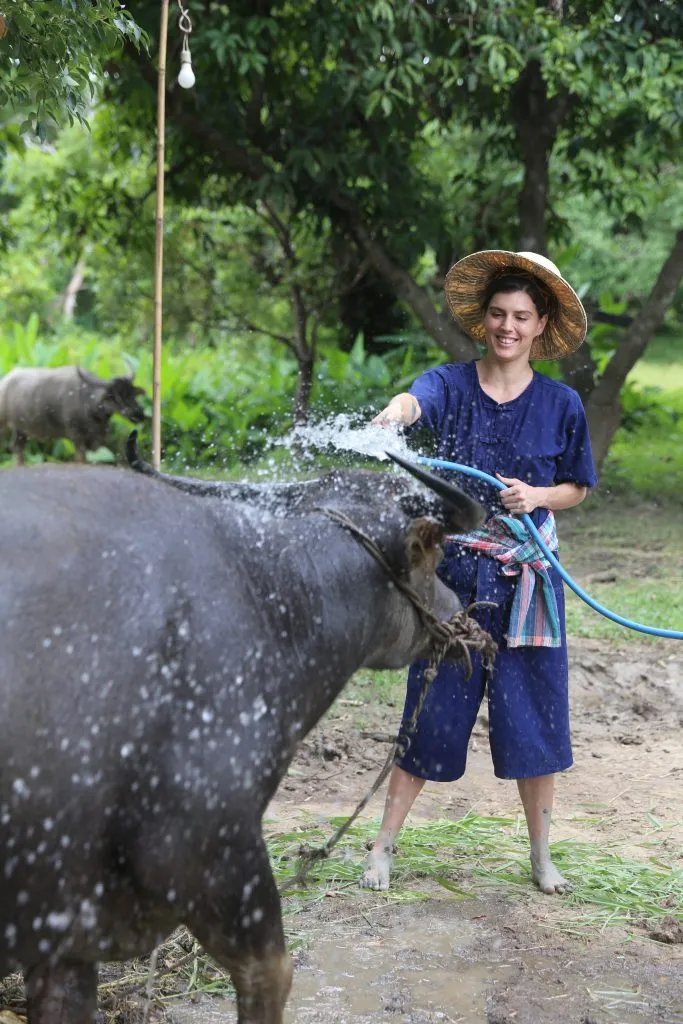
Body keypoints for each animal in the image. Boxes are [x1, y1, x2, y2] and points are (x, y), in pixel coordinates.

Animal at [0, 365, 147, 464]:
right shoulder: (76, 435)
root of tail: (5, 381)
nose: (139, 414)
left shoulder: (98, 439)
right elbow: (81, 458)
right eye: (116, 395)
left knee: (17, 447)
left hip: (21, 430)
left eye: (132, 393)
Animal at [0, 450, 484, 1023]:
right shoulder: (221, 860)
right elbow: (271, 977)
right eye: (435, 555)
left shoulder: (66, 932)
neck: (270, 601)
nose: (464, 613)